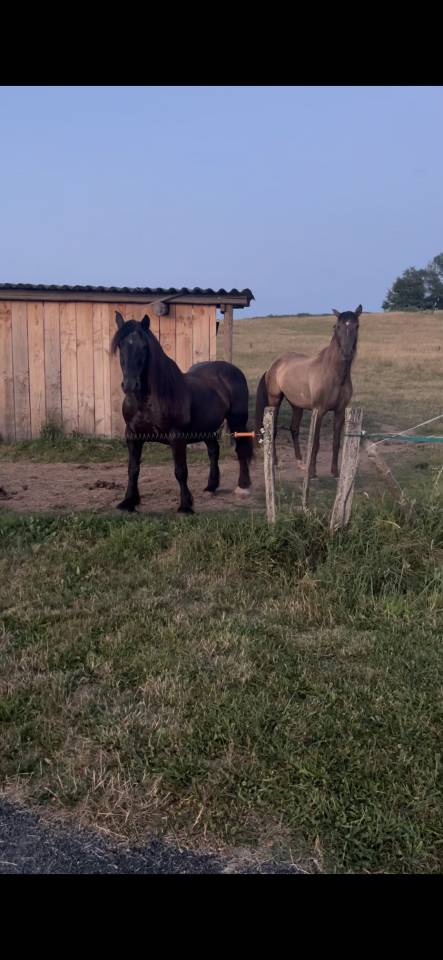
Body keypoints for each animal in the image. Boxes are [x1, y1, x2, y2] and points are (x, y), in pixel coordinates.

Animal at [111, 312, 253, 513]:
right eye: (120, 345)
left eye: (144, 347)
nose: (130, 385)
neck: (148, 400)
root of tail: (233, 371)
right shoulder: (132, 435)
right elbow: (133, 469)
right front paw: (129, 501)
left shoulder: (176, 436)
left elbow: (180, 470)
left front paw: (185, 506)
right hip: (206, 427)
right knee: (213, 451)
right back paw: (211, 487)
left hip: (237, 421)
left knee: (241, 450)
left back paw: (243, 487)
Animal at [255, 305, 362, 479]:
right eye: (337, 327)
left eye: (356, 326)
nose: (346, 354)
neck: (334, 374)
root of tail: (274, 365)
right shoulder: (319, 411)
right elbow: (316, 443)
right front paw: (312, 473)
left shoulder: (340, 412)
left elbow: (336, 442)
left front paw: (335, 472)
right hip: (274, 401)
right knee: (274, 430)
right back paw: (275, 462)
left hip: (296, 405)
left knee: (294, 430)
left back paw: (300, 463)